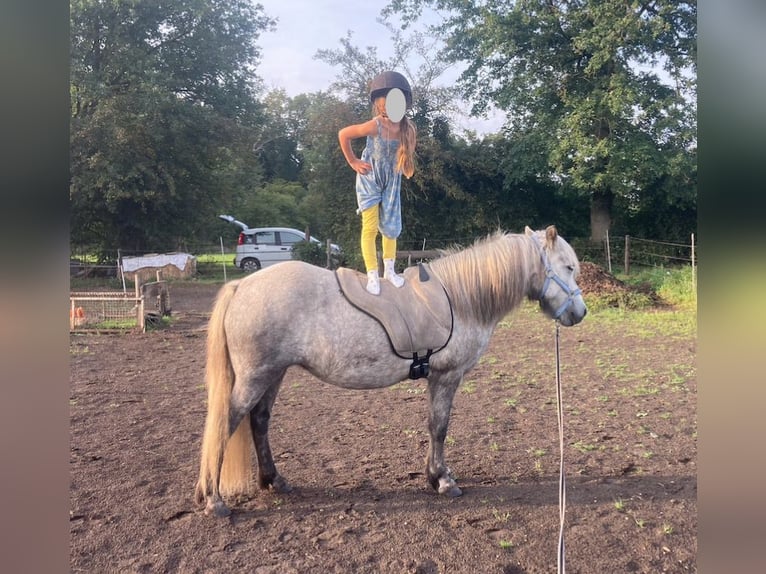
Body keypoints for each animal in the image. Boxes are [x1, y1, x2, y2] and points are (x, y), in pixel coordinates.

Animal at [194, 225, 588, 516]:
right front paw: (444, 481)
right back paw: (214, 499)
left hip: (273, 374)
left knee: (259, 421)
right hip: (255, 377)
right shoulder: (447, 377)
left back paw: (274, 480)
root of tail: (241, 286)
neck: (460, 299)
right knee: (225, 424)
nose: (580, 313)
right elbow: (440, 427)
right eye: (568, 267)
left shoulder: (435, 378)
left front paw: (434, 476)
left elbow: (432, 426)